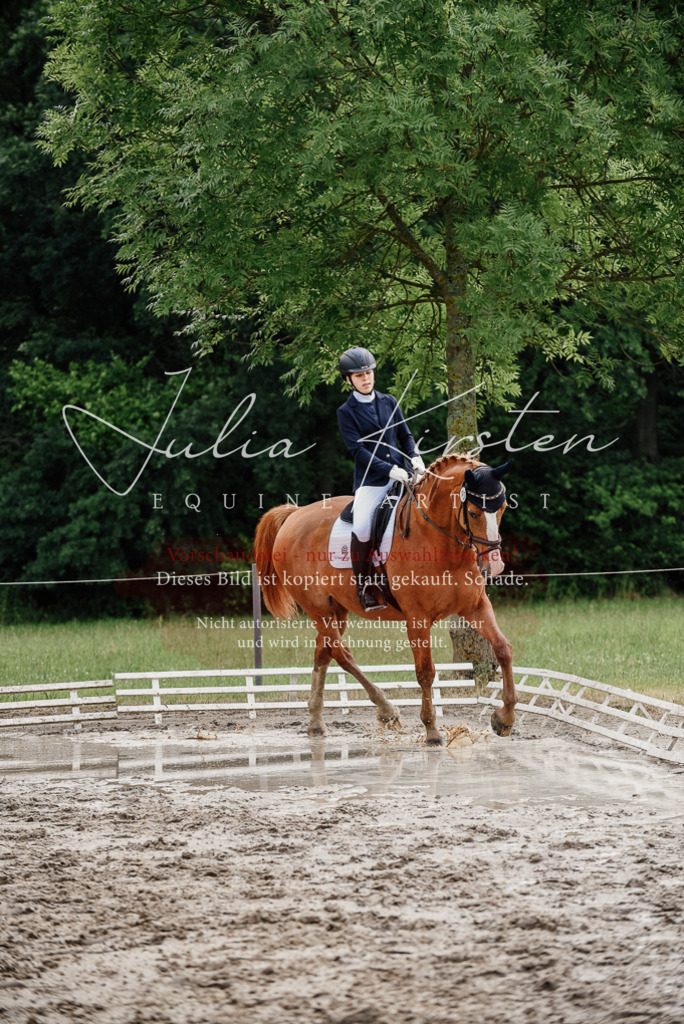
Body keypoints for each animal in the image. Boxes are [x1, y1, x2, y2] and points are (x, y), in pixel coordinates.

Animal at [253, 454, 516, 745]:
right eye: (473, 513)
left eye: (503, 508)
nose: (495, 566)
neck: (440, 540)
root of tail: (294, 514)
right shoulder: (416, 618)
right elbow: (426, 671)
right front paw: (432, 731)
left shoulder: (475, 607)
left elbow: (503, 649)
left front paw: (504, 719)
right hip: (317, 607)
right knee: (341, 652)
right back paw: (387, 710)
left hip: (336, 609)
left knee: (324, 652)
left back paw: (316, 723)